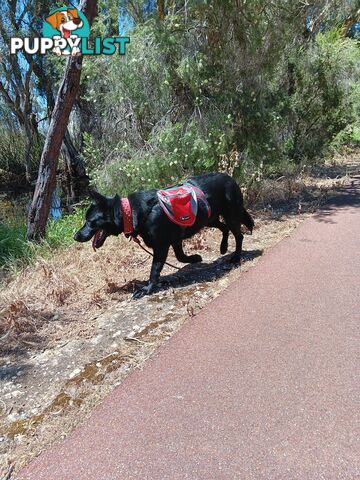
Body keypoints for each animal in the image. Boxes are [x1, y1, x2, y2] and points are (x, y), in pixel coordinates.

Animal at [74, 172, 253, 300]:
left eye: (89, 222)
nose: (75, 236)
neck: (131, 212)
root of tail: (230, 178)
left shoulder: (161, 246)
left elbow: (154, 269)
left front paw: (147, 289)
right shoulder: (175, 240)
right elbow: (181, 257)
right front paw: (195, 258)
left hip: (230, 215)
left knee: (239, 236)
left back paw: (236, 257)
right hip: (209, 218)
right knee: (224, 228)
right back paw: (223, 247)